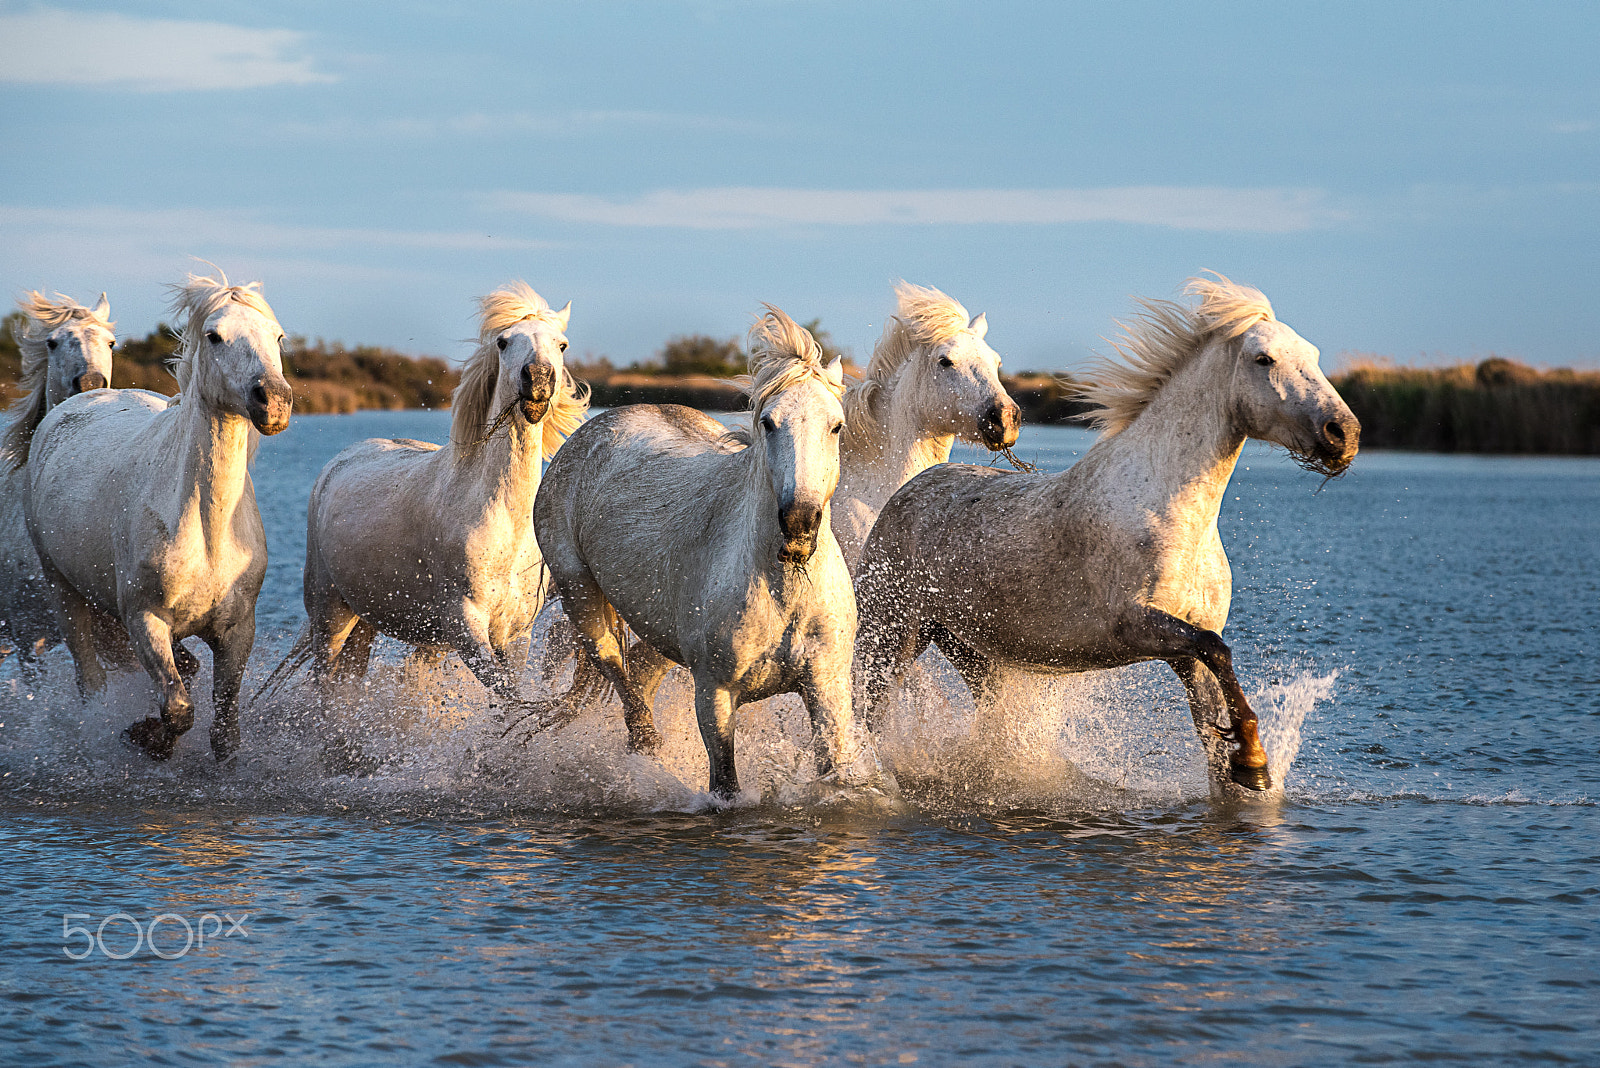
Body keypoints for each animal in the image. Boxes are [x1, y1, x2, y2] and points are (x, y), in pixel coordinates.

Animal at [25, 271, 293, 760]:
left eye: (277, 336)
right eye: (214, 336)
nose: (274, 401)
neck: (207, 529)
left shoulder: (238, 631)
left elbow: (224, 731)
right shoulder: (145, 620)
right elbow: (178, 708)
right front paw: (146, 738)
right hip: (63, 591)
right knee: (90, 679)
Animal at [280, 282, 584, 707]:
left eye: (562, 344)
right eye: (504, 342)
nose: (537, 380)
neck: (502, 524)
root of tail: (339, 461)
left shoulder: (514, 635)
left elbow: (507, 698)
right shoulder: (465, 627)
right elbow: (509, 698)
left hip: (371, 622)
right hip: (329, 615)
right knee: (325, 687)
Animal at [525, 307, 883, 800]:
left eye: (836, 425)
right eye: (768, 423)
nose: (798, 525)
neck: (782, 593)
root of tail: (599, 426)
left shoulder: (827, 689)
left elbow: (835, 769)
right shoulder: (715, 696)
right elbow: (725, 785)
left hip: (658, 629)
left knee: (640, 673)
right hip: (581, 596)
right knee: (617, 672)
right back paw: (646, 747)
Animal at [853, 273, 1360, 795]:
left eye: (1314, 355)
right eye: (1264, 359)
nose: (1343, 434)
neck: (1167, 509)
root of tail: (907, 488)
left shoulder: (1186, 646)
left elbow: (1214, 710)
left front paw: (1247, 765)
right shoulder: (1135, 625)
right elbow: (1218, 651)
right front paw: (1255, 761)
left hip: (974, 651)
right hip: (890, 635)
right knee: (864, 713)